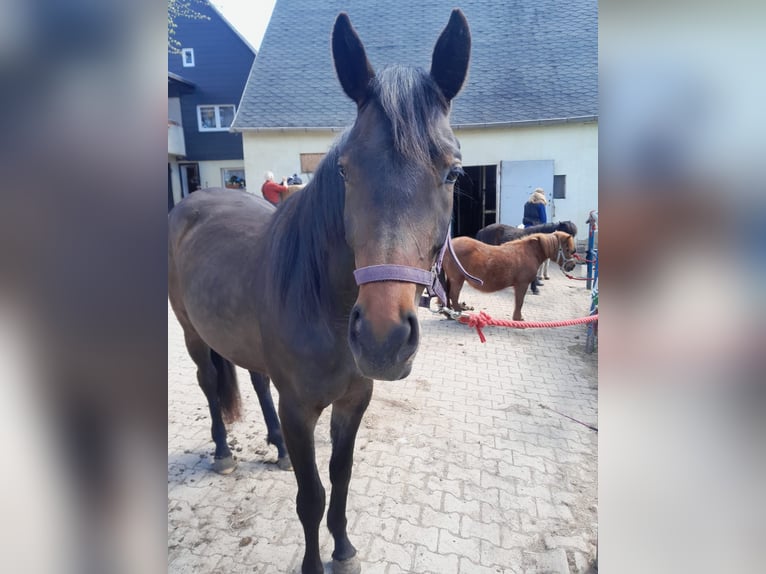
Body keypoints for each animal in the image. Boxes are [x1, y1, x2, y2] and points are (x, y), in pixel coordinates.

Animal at [168, 10, 470, 574]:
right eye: (345, 169)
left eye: (453, 172)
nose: (382, 340)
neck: (326, 306)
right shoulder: (300, 408)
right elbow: (311, 497)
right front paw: (315, 561)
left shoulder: (354, 402)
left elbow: (341, 478)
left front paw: (345, 549)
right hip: (192, 333)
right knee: (209, 382)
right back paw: (224, 453)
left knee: (256, 380)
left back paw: (277, 447)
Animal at [442, 231, 577, 321]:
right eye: (567, 249)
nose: (572, 266)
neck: (529, 253)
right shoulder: (522, 284)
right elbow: (520, 301)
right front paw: (518, 318)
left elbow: (518, 301)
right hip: (457, 280)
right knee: (453, 295)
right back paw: (458, 314)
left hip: (452, 280)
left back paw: (449, 314)